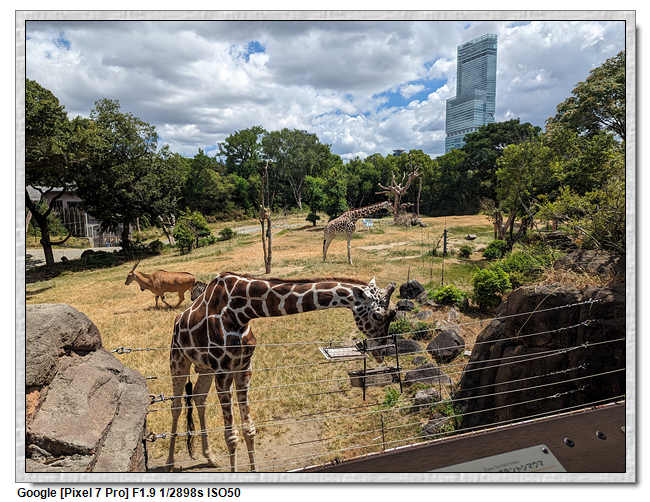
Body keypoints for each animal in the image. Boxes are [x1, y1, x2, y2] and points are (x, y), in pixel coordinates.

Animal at [165, 271, 397, 472]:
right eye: (378, 315)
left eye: (392, 314)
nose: (381, 352)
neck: (240, 311)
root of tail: (177, 321)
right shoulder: (223, 370)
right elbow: (231, 436)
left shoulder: (244, 367)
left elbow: (249, 429)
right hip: (179, 361)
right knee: (176, 406)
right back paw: (169, 464)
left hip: (205, 368)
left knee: (199, 398)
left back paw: (210, 458)